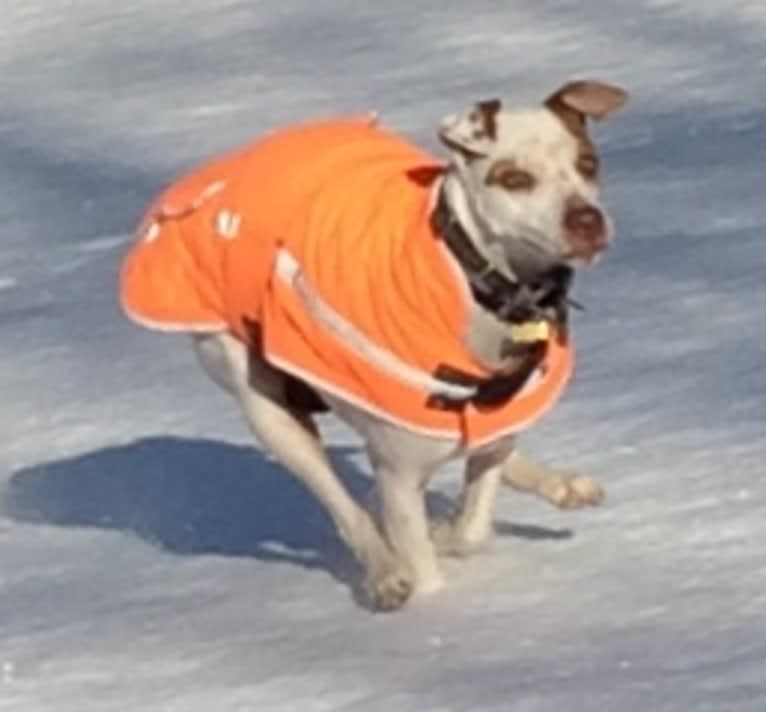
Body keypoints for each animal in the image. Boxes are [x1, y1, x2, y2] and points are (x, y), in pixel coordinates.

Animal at [121, 79, 632, 612]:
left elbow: (473, 525)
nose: (587, 220)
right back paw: (386, 575)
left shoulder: (493, 431)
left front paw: (450, 528)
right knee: (342, 503)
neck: (475, 286)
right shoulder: (399, 475)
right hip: (261, 400)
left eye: (588, 163)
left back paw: (561, 485)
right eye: (514, 178)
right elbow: (421, 549)